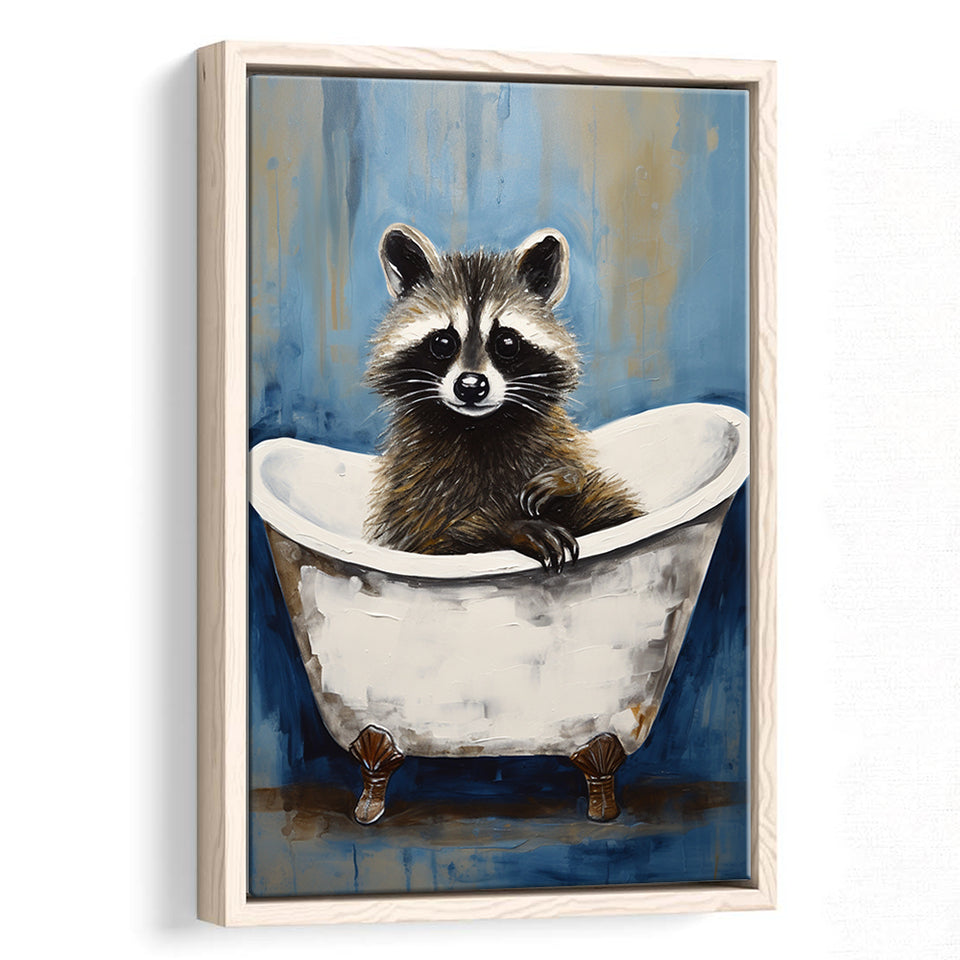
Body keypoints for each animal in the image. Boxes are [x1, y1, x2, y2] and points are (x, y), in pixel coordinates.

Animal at [364, 223, 642, 571]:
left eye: (506, 343)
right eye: (442, 343)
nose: (471, 386)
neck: (480, 426)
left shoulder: (552, 438)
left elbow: (595, 486)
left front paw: (567, 478)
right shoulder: (415, 479)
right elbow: (440, 535)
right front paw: (513, 526)